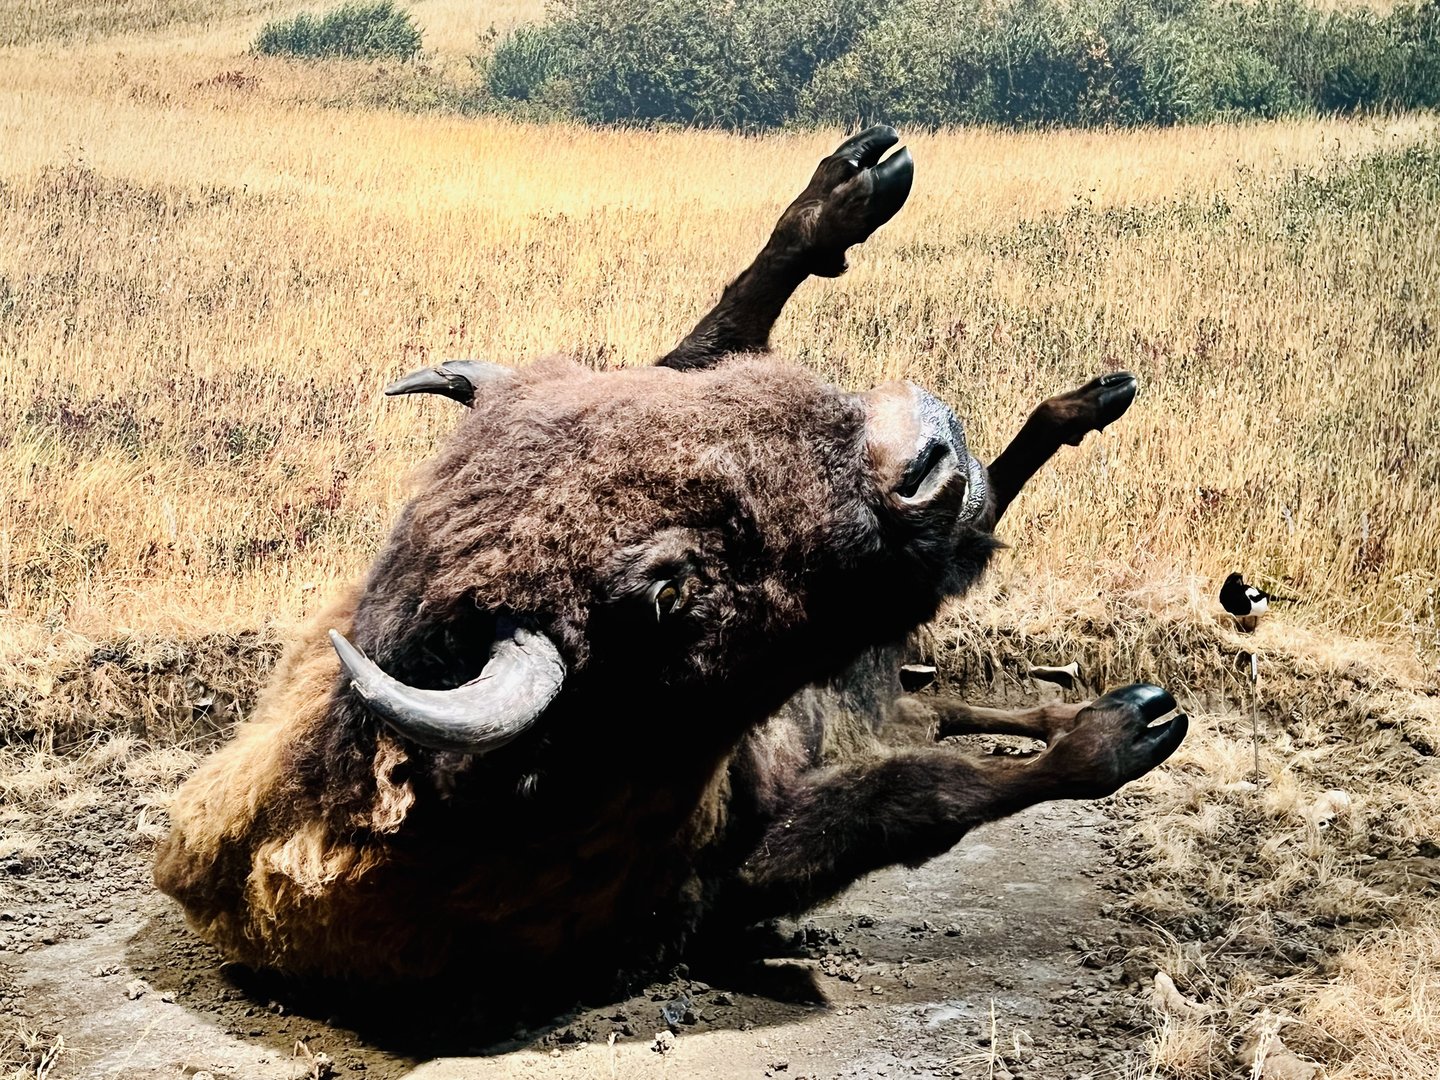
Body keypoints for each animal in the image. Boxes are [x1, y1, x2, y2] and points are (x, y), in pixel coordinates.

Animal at [155, 127, 1187, 997]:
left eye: (617, 400)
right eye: (669, 589)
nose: (925, 445)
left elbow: (712, 334)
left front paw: (854, 180)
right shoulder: (723, 885)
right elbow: (923, 798)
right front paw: (1132, 728)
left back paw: (1067, 380)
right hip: (895, 652)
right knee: (952, 680)